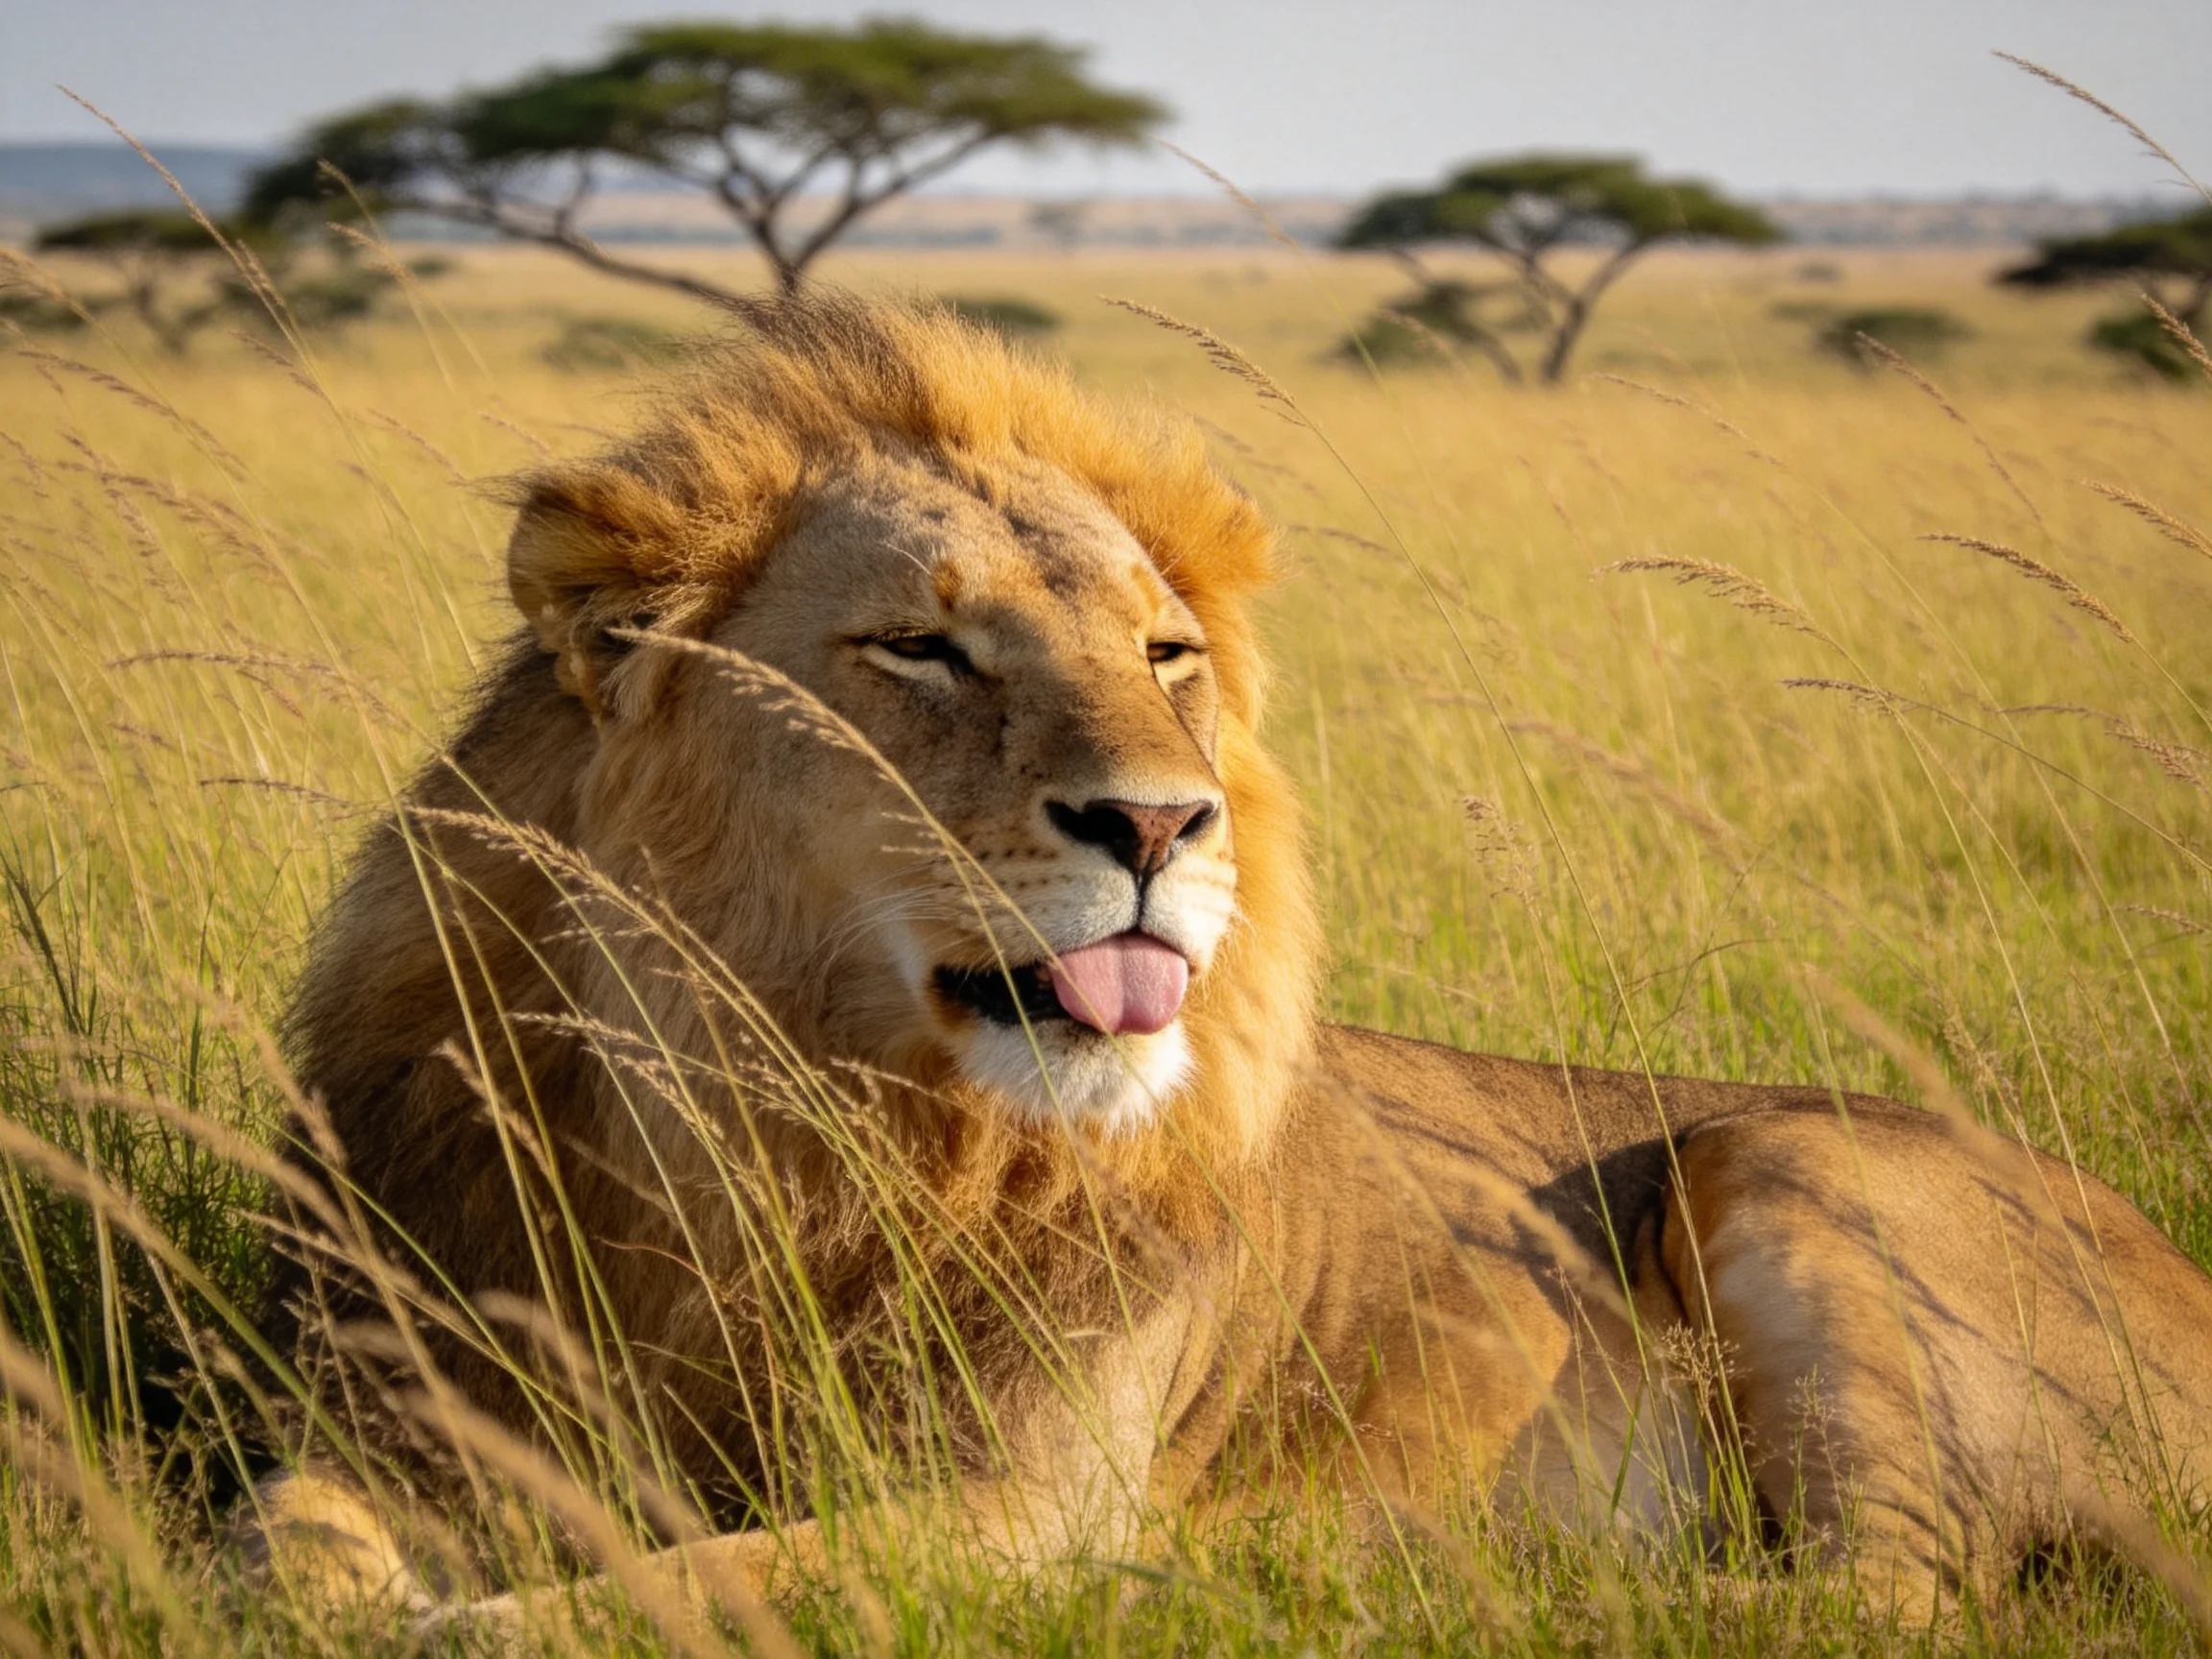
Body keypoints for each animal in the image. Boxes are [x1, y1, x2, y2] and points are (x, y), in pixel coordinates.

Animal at [248, 290, 2212, 1634]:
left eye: (1163, 651)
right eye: (920, 650)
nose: (1161, 826)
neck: (772, 1121)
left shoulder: (1010, 1516)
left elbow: (663, 1590)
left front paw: (462, 1623)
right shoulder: (389, 1391)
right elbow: (284, 1539)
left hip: (1790, 1160)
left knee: (1883, 1594)